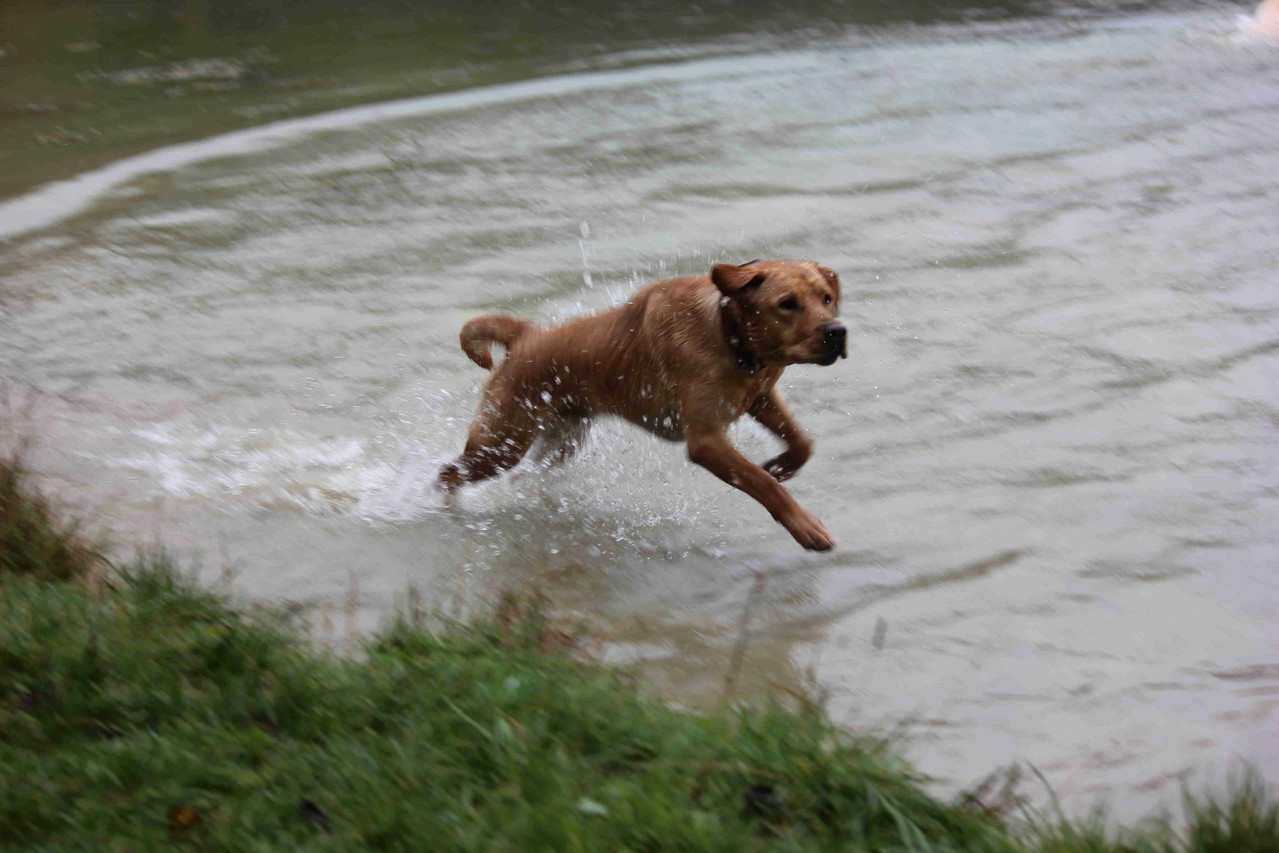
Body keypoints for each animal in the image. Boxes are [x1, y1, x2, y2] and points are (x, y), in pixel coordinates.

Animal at [439, 260, 849, 555]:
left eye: (826, 298)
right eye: (787, 304)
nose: (837, 332)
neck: (730, 335)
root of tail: (526, 336)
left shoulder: (761, 398)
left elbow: (801, 442)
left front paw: (782, 465)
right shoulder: (706, 440)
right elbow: (762, 483)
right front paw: (805, 526)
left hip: (561, 440)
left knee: (522, 475)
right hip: (501, 442)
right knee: (448, 473)